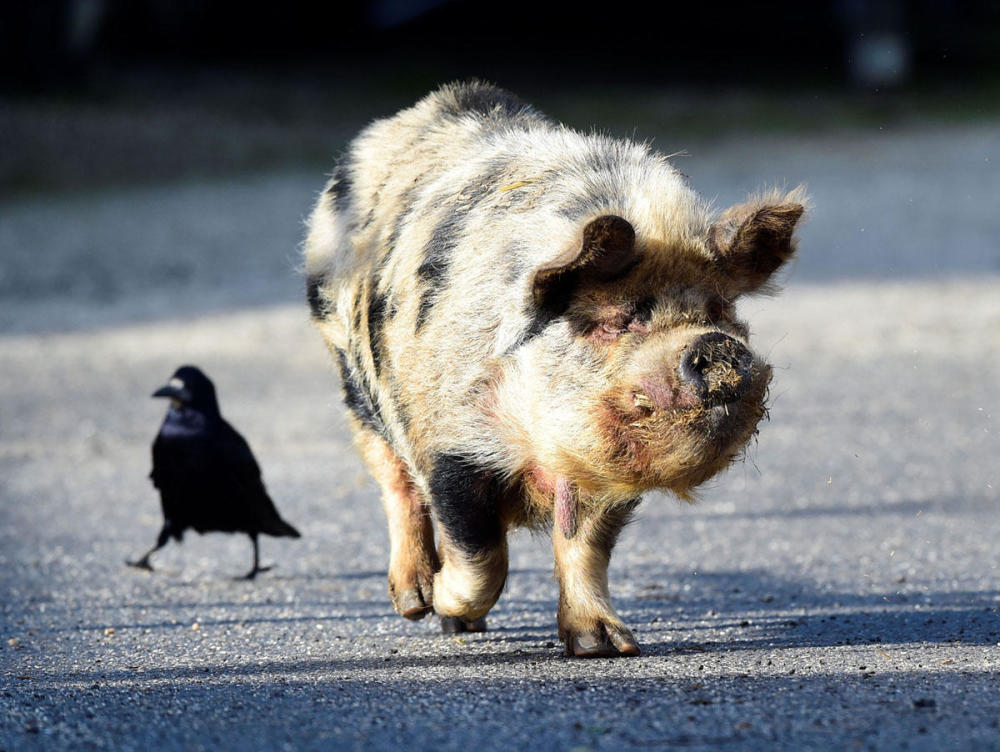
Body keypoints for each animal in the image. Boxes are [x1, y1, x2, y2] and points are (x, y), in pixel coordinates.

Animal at [302, 82, 804, 656]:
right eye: (614, 320)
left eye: (720, 311)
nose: (716, 346)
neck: (535, 446)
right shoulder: (451, 442)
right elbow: (480, 553)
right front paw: (448, 603)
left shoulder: (600, 475)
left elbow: (584, 548)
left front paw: (606, 646)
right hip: (350, 374)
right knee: (393, 479)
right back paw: (417, 602)